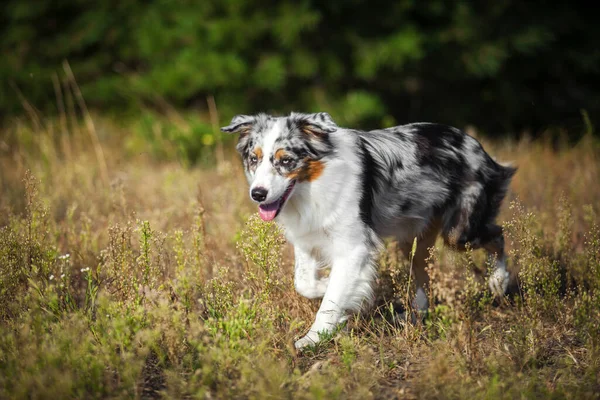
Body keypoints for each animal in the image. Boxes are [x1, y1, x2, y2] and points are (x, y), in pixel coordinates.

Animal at [221, 111, 516, 348]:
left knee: (498, 235)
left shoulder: (353, 247)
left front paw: (313, 338)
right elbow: (304, 283)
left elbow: (331, 300)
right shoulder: (307, 240)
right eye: (253, 159)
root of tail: (476, 144)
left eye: (286, 161)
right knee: (424, 274)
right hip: (413, 239)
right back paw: (414, 316)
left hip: (460, 232)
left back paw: (499, 281)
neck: (313, 183)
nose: (258, 194)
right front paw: (330, 286)